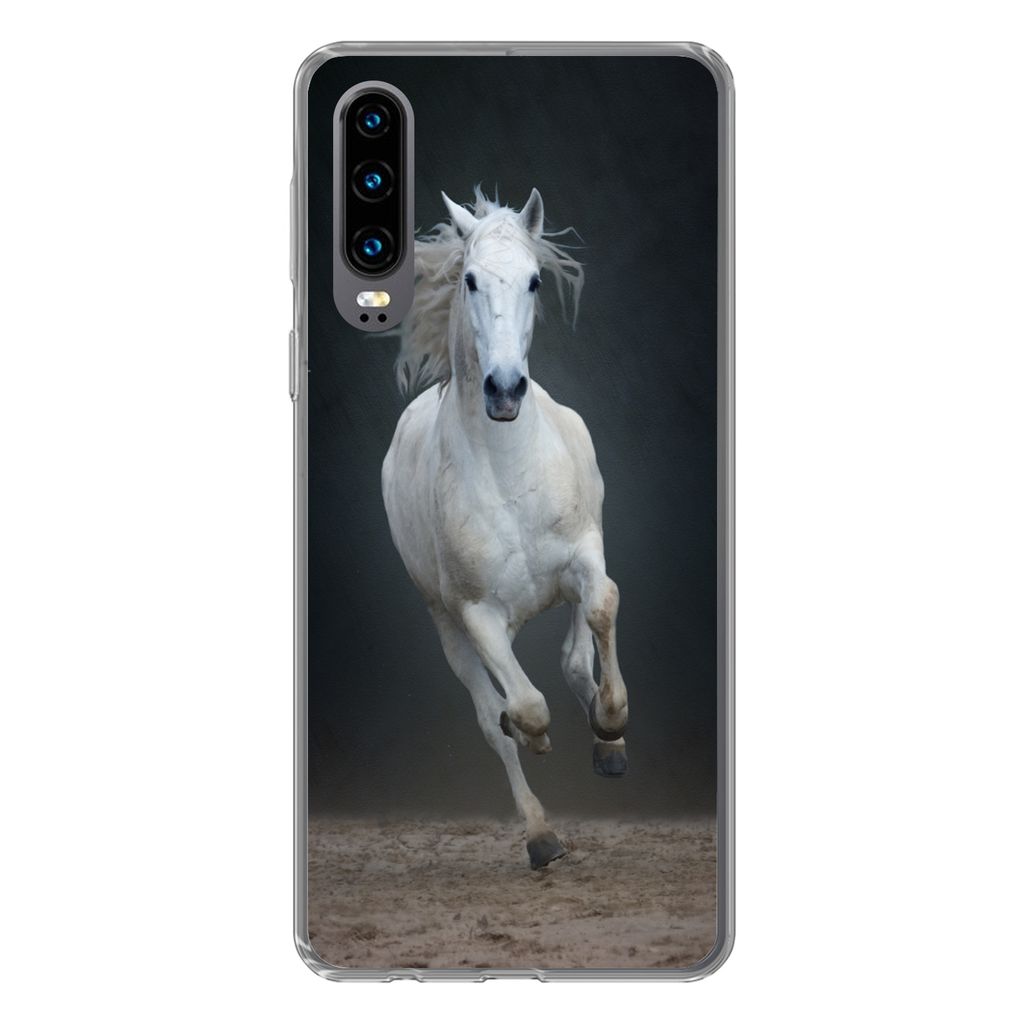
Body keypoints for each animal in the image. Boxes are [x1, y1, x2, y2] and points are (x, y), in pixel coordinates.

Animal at [382, 187, 629, 869]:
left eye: (534, 280)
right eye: (469, 279)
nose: (504, 389)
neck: (507, 468)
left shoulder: (584, 553)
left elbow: (602, 607)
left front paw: (612, 725)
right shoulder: (476, 615)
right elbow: (521, 708)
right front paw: (538, 740)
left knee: (575, 656)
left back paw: (606, 745)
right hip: (448, 624)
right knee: (493, 716)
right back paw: (541, 836)